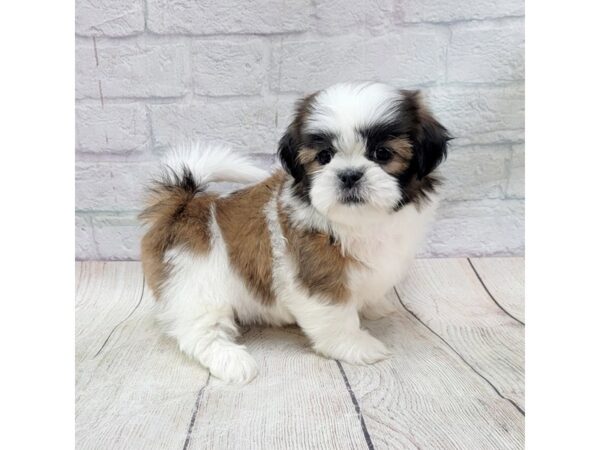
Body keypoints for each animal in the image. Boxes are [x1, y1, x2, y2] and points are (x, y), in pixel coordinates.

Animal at [141, 81, 450, 384]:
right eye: (324, 157)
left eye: (383, 154)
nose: (349, 174)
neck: (359, 222)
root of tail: (183, 208)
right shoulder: (319, 276)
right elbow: (337, 316)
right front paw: (356, 346)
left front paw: (375, 306)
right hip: (197, 282)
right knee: (198, 329)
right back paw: (231, 361)